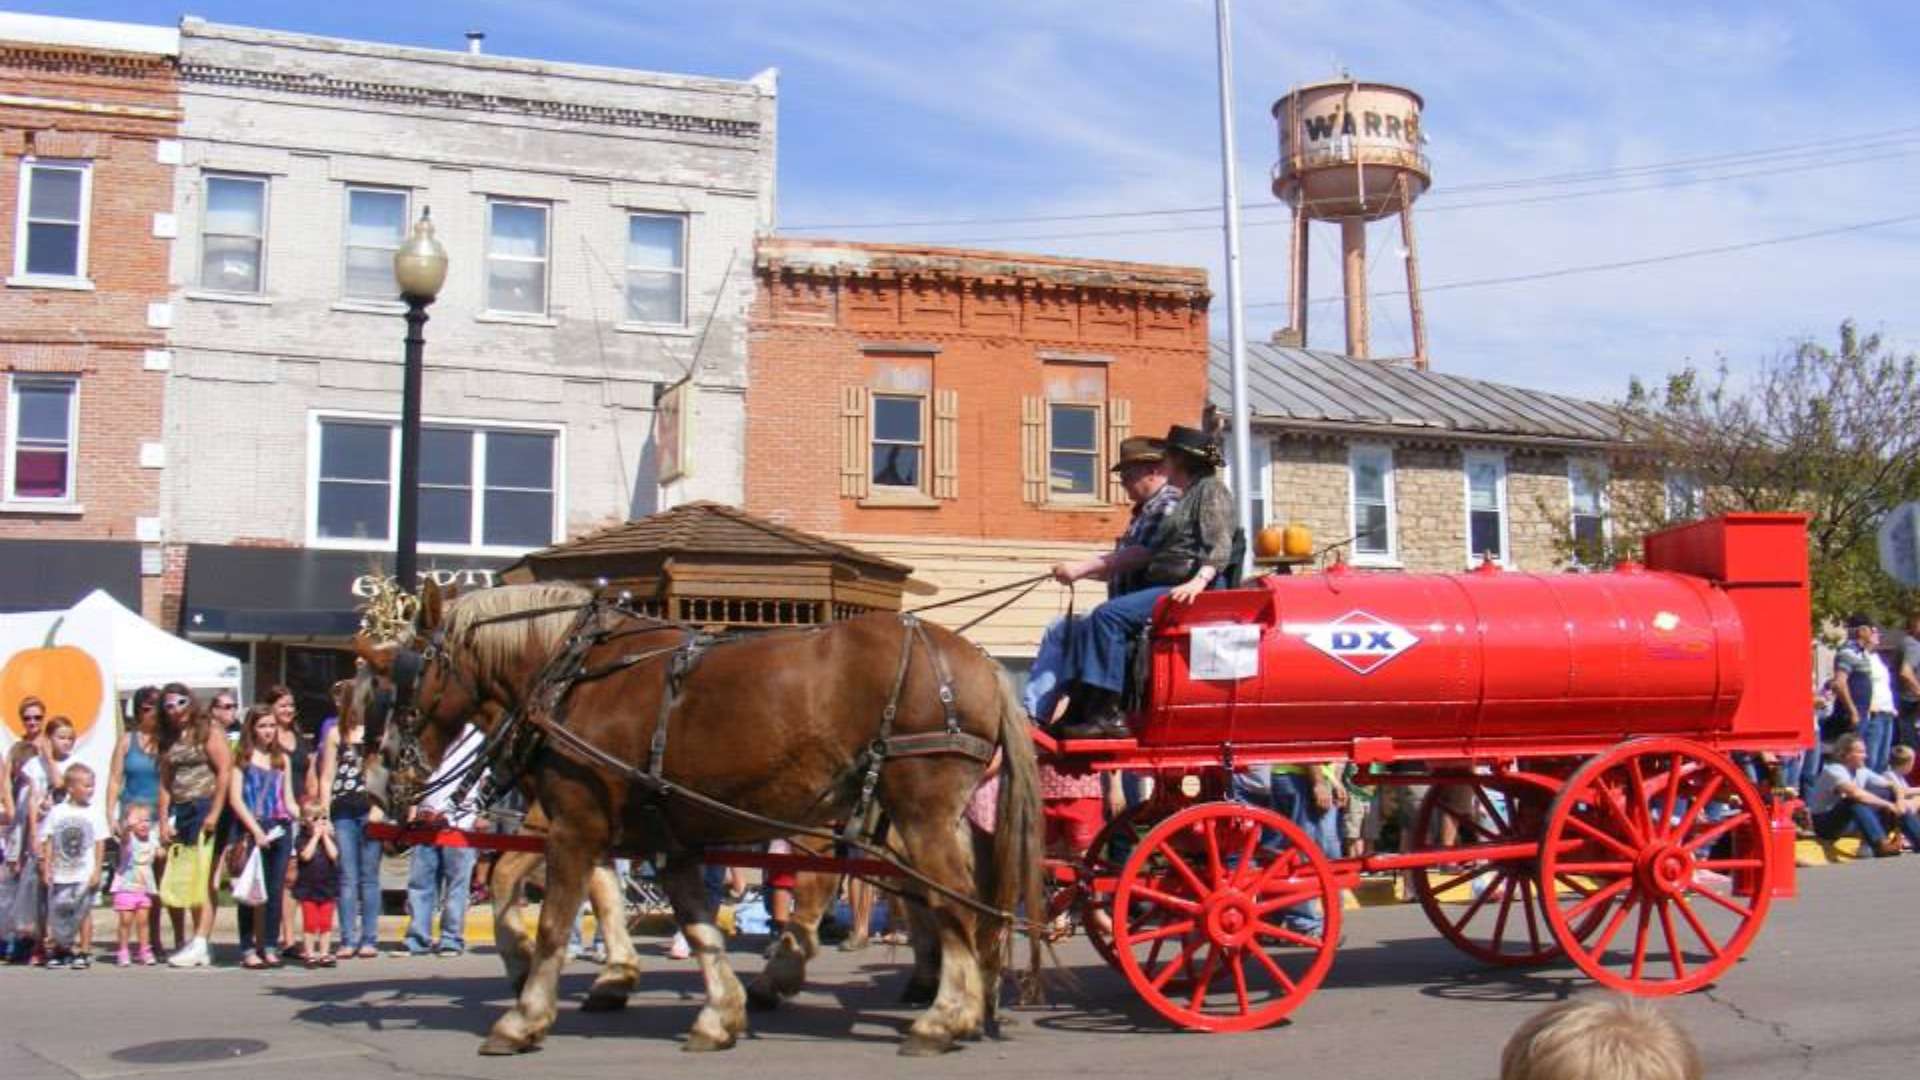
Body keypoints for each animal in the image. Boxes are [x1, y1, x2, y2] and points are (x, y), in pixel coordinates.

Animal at [364, 580, 1044, 1053]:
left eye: (407, 674)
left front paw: (523, 1012)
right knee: (942, 901)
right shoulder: (665, 834)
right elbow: (696, 927)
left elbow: (553, 917)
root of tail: (981, 663)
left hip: (918, 807)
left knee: (953, 901)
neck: (573, 679)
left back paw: (943, 1016)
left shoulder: (575, 823)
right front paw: (717, 1013)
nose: (378, 773)